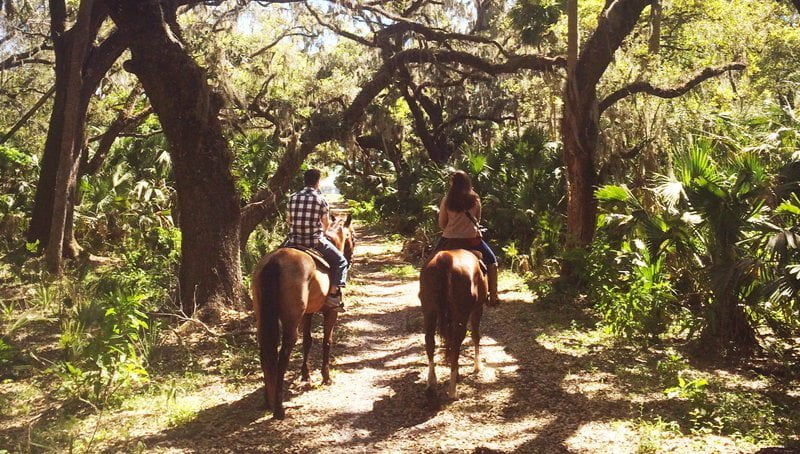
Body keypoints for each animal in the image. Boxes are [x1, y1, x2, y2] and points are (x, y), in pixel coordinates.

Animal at [253, 213, 354, 418]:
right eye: (352, 237)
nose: (350, 258)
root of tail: (275, 262)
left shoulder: (307, 313)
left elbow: (308, 341)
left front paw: (305, 375)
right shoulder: (331, 312)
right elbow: (326, 342)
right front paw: (326, 377)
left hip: (263, 318)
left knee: (265, 353)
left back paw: (268, 401)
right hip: (291, 322)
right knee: (283, 356)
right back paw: (279, 409)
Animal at [418, 247, 488, 400]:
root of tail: (444, 259)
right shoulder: (478, 309)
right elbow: (475, 335)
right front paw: (477, 366)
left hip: (429, 310)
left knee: (430, 341)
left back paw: (431, 383)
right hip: (462, 313)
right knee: (456, 343)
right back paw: (452, 390)